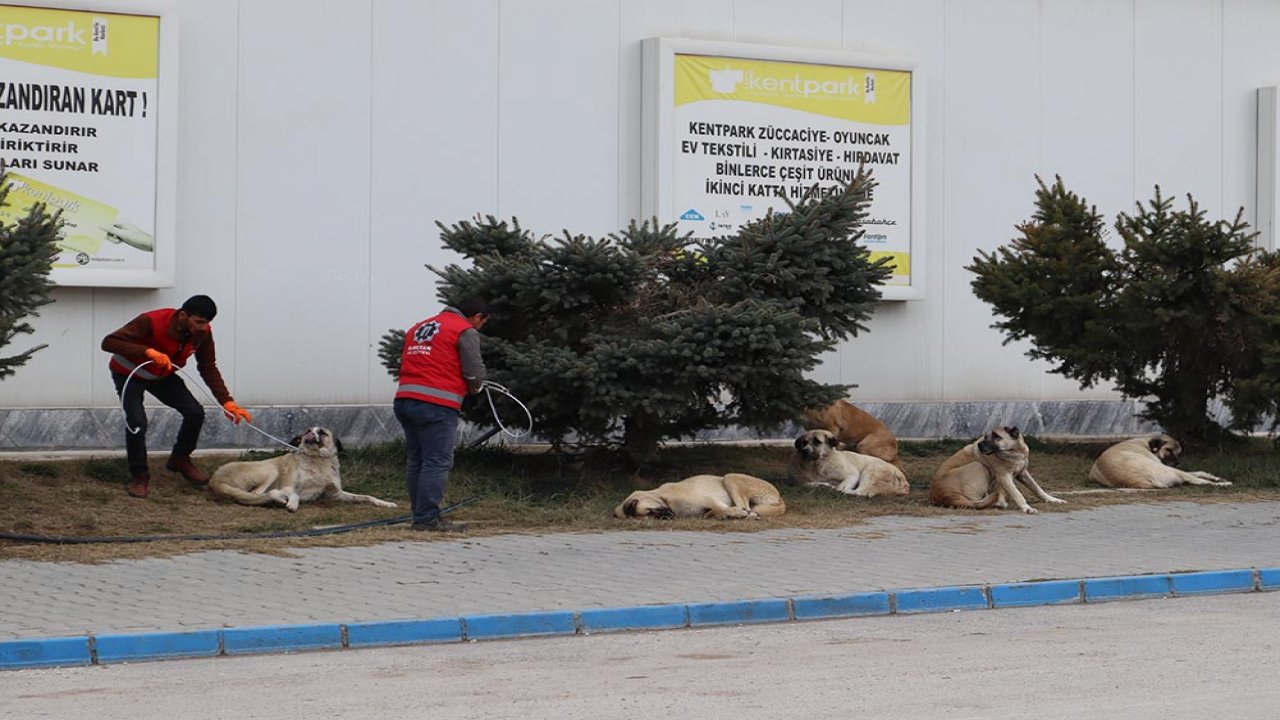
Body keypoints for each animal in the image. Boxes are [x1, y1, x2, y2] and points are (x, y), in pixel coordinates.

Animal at [611, 471, 783, 515]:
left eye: (650, 512)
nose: (670, 517)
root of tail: (780, 499)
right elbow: (710, 513)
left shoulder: (711, 501)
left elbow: (720, 509)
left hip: (729, 477)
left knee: (745, 506)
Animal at [926, 425, 1064, 509]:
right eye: (986, 437)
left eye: (997, 436)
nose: (980, 446)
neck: (1014, 452)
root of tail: (945, 497)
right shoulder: (1004, 476)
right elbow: (1017, 493)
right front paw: (1026, 508)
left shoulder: (1023, 473)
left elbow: (1038, 489)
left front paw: (1053, 500)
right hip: (979, 466)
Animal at [1090, 430, 1228, 486]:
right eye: (1168, 450)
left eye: (1179, 453)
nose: (1177, 463)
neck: (1146, 443)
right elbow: (1196, 475)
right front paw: (1217, 479)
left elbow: (1199, 471)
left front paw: (1215, 476)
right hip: (1171, 471)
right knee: (1200, 482)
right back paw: (1223, 484)